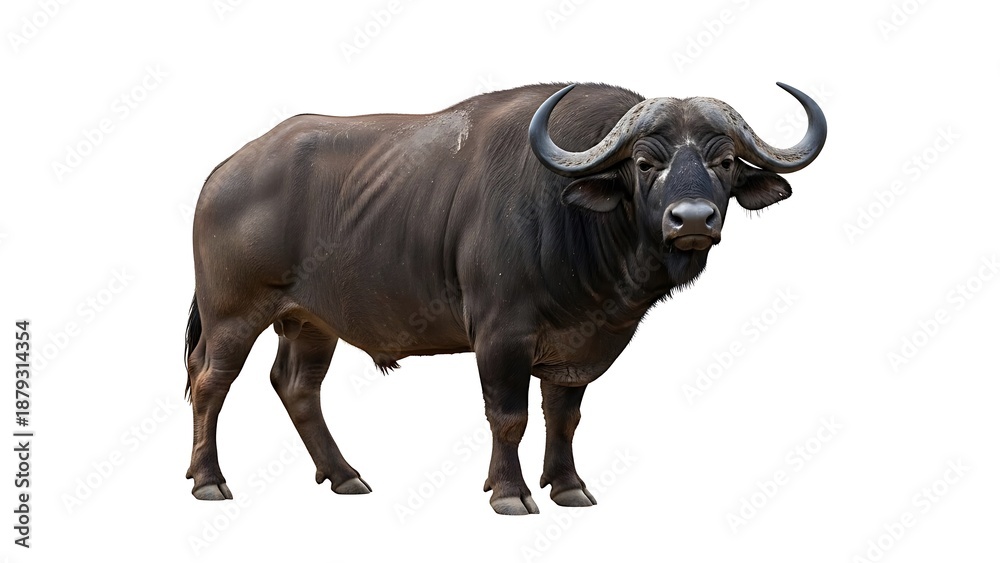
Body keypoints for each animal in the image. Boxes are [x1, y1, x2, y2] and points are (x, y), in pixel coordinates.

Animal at [183, 82, 826, 514]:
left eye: (725, 161)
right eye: (646, 162)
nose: (692, 219)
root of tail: (222, 174)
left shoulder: (578, 346)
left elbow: (564, 417)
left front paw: (568, 486)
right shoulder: (500, 336)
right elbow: (508, 415)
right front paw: (510, 492)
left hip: (311, 320)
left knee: (296, 386)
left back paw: (344, 475)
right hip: (232, 314)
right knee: (209, 382)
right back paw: (209, 480)